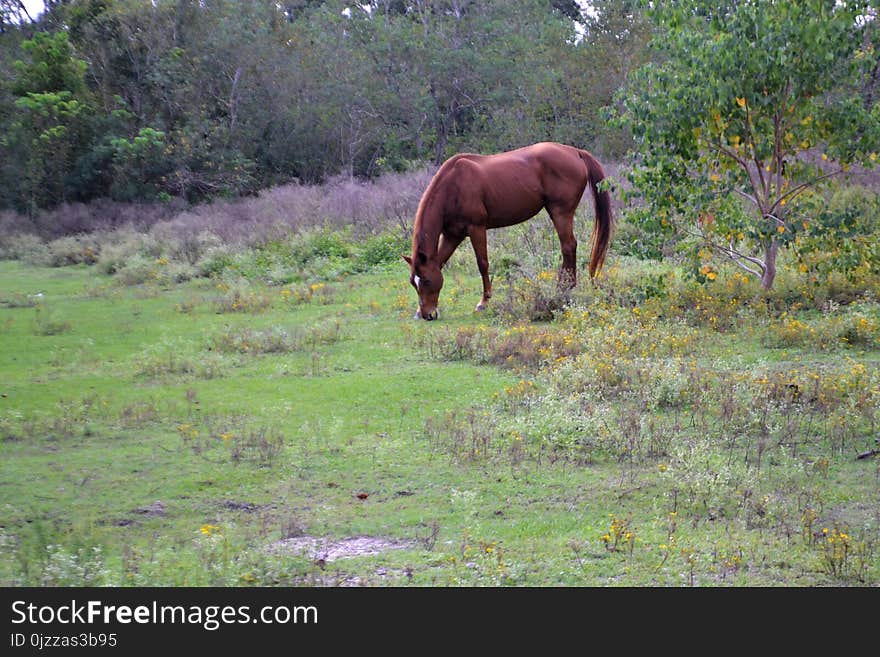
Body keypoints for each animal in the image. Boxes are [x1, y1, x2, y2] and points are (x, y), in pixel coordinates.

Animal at [404, 141, 612, 320]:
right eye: (413, 282)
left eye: (426, 280)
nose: (427, 314)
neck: (453, 185)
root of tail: (575, 152)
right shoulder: (452, 235)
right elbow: (440, 262)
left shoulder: (476, 228)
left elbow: (482, 263)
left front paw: (484, 302)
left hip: (560, 212)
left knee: (568, 246)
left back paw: (563, 289)